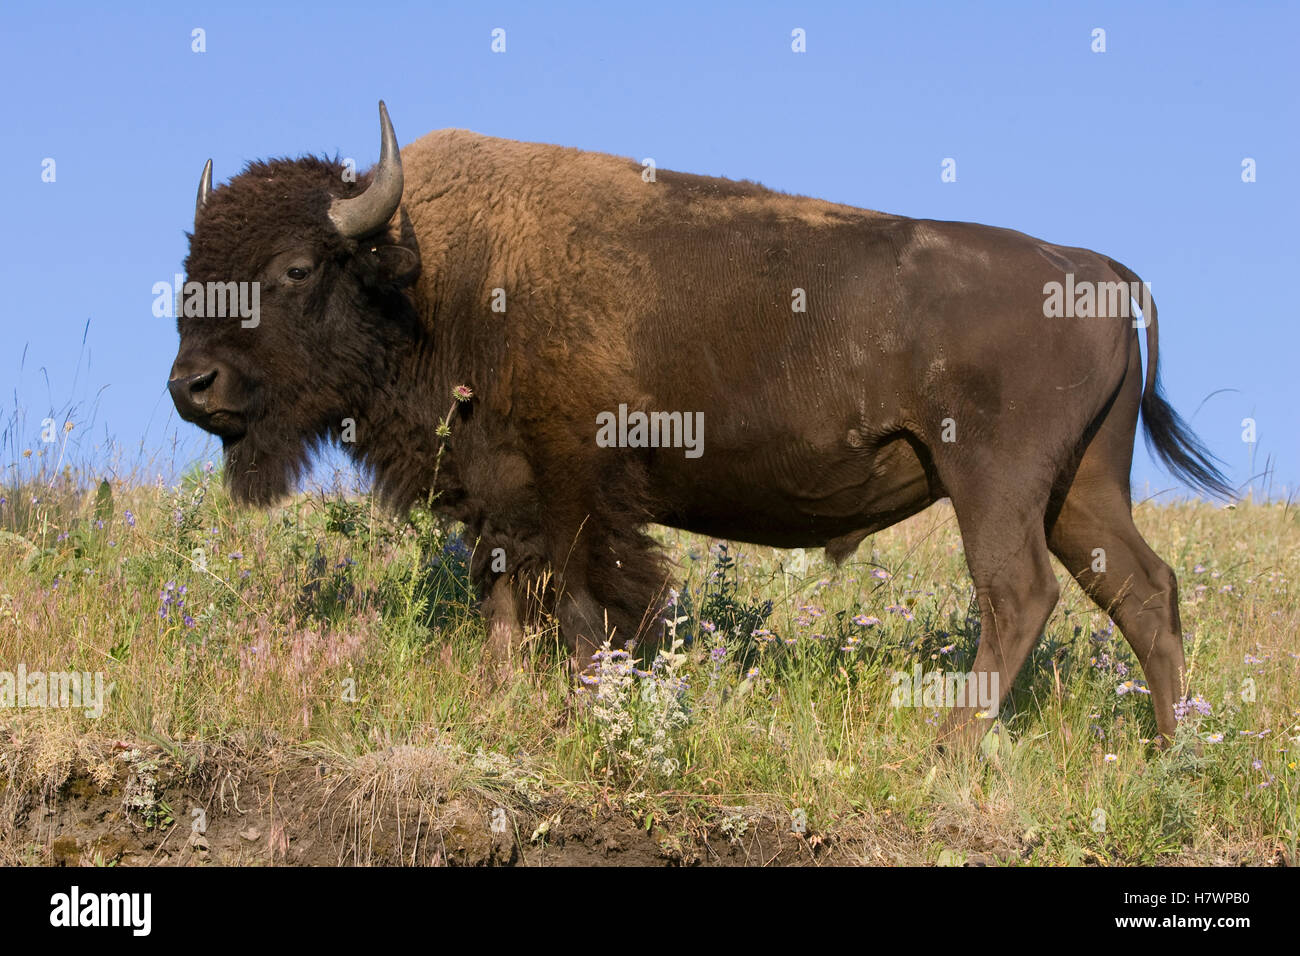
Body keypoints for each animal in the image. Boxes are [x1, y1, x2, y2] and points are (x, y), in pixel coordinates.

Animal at [170, 102, 1232, 744]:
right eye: (191, 268)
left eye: (296, 268)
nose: (192, 384)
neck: (429, 273)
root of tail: (1096, 268)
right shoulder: (503, 494)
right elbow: (507, 600)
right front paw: (501, 699)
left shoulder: (579, 486)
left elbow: (592, 607)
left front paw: (590, 707)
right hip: (1081, 489)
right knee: (1144, 591)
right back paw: (1174, 744)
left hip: (995, 483)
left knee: (1018, 594)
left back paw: (952, 744)